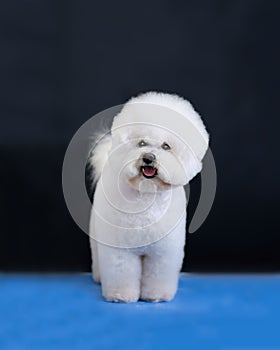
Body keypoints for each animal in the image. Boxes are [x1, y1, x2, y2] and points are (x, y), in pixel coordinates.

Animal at [88, 91, 209, 302]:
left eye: (166, 146)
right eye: (141, 143)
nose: (148, 158)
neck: (146, 196)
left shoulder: (163, 252)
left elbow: (158, 274)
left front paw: (156, 295)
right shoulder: (121, 250)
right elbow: (121, 270)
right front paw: (121, 295)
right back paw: (98, 277)